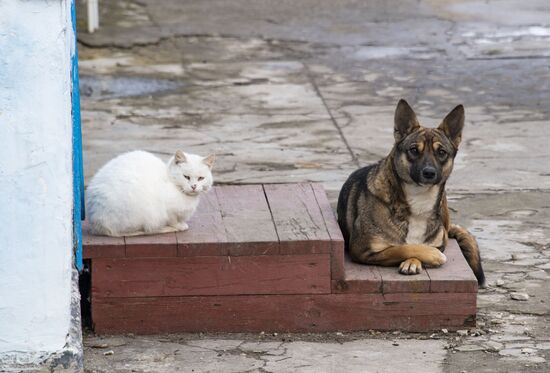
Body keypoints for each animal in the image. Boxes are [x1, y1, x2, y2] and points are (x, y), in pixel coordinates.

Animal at [86, 148, 216, 235]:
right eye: (186, 177)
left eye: (201, 178)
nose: (193, 186)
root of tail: (97, 224)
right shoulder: (168, 211)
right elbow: (173, 220)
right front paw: (179, 226)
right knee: (144, 230)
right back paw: (165, 229)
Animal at [336, 99, 488, 284]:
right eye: (414, 150)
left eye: (442, 152)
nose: (429, 173)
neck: (419, 198)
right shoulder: (362, 249)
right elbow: (401, 248)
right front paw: (431, 255)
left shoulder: (440, 241)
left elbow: (413, 245)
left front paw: (415, 261)